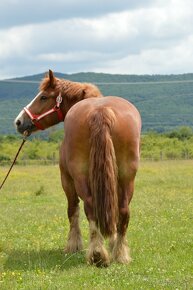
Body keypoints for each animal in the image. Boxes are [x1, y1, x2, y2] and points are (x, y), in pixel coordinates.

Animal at [15, 69, 141, 266]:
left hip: (80, 176)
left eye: (43, 97)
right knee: (123, 210)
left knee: (89, 206)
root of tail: (101, 110)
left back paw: (97, 253)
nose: (19, 121)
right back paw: (120, 253)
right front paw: (111, 242)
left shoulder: (66, 179)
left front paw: (73, 245)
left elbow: (72, 210)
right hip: (127, 176)